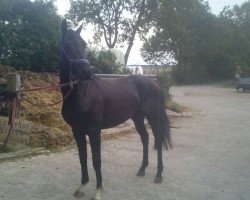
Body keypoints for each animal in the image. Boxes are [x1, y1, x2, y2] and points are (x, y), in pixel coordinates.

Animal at [59, 19, 172, 199]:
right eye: (68, 43)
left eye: (84, 44)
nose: (86, 72)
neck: (81, 94)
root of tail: (154, 82)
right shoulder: (77, 130)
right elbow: (83, 159)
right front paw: (82, 186)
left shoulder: (94, 131)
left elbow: (96, 160)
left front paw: (98, 190)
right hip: (138, 117)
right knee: (145, 138)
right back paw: (142, 169)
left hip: (153, 116)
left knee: (158, 138)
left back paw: (159, 175)